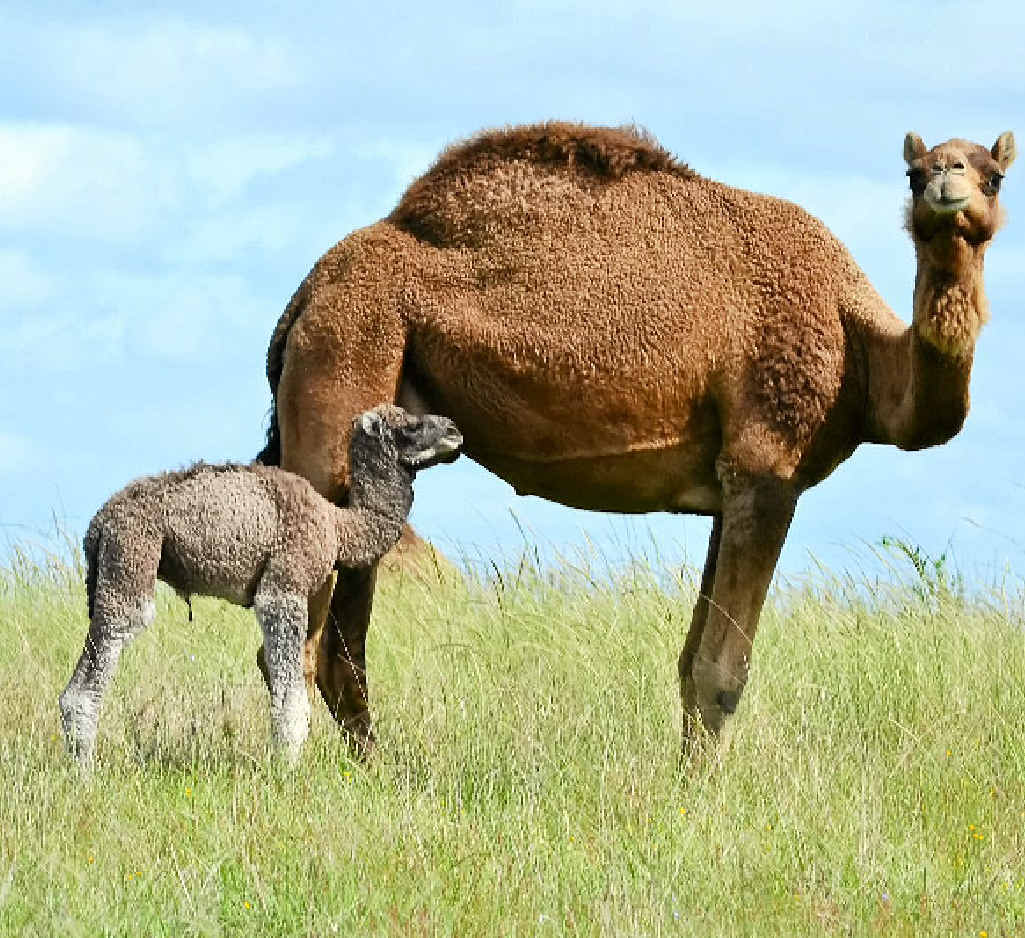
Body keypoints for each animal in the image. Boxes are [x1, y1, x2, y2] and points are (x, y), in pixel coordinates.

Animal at [256, 122, 1015, 751]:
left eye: (992, 174)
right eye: (914, 173)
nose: (946, 185)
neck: (860, 346)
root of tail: (305, 296)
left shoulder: (730, 485)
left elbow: (690, 664)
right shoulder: (767, 465)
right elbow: (721, 673)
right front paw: (702, 804)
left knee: (340, 648)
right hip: (347, 360)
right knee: (298, 641)